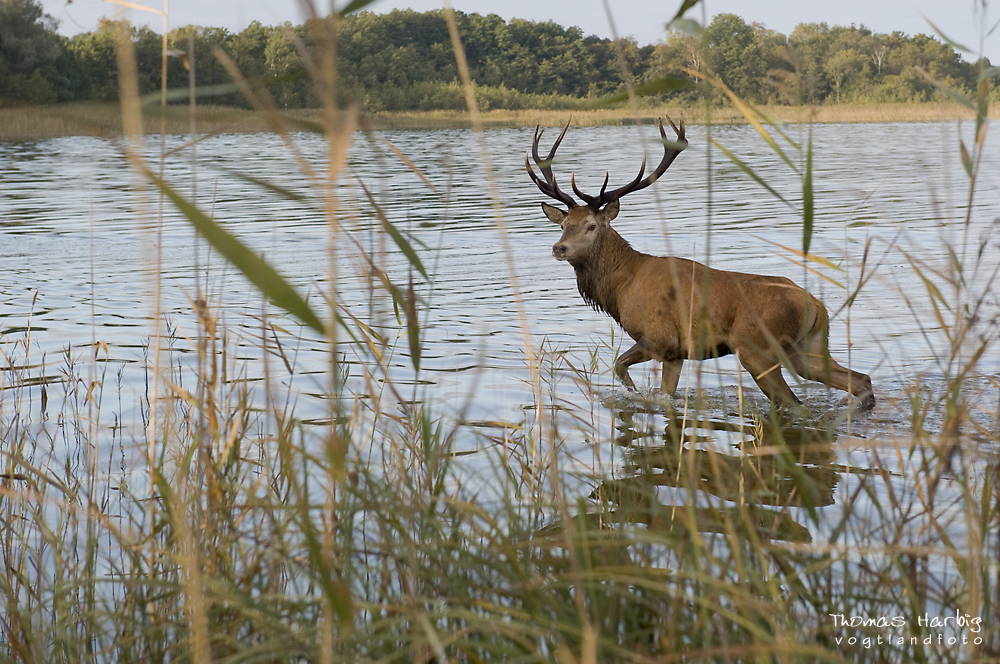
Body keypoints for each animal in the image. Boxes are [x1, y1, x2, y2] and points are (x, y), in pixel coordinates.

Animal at [524, 120, 876, 410]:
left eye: (591, 226)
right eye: (563, 224)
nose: (558, 247)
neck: (621, 289)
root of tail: (817, 305)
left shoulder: (660, 338)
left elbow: (619, 364)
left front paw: (634, 394)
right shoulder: (678, 354)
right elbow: (661, 391)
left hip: (757, 349)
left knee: (794, 401)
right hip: (808, 348)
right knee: (860, 380)